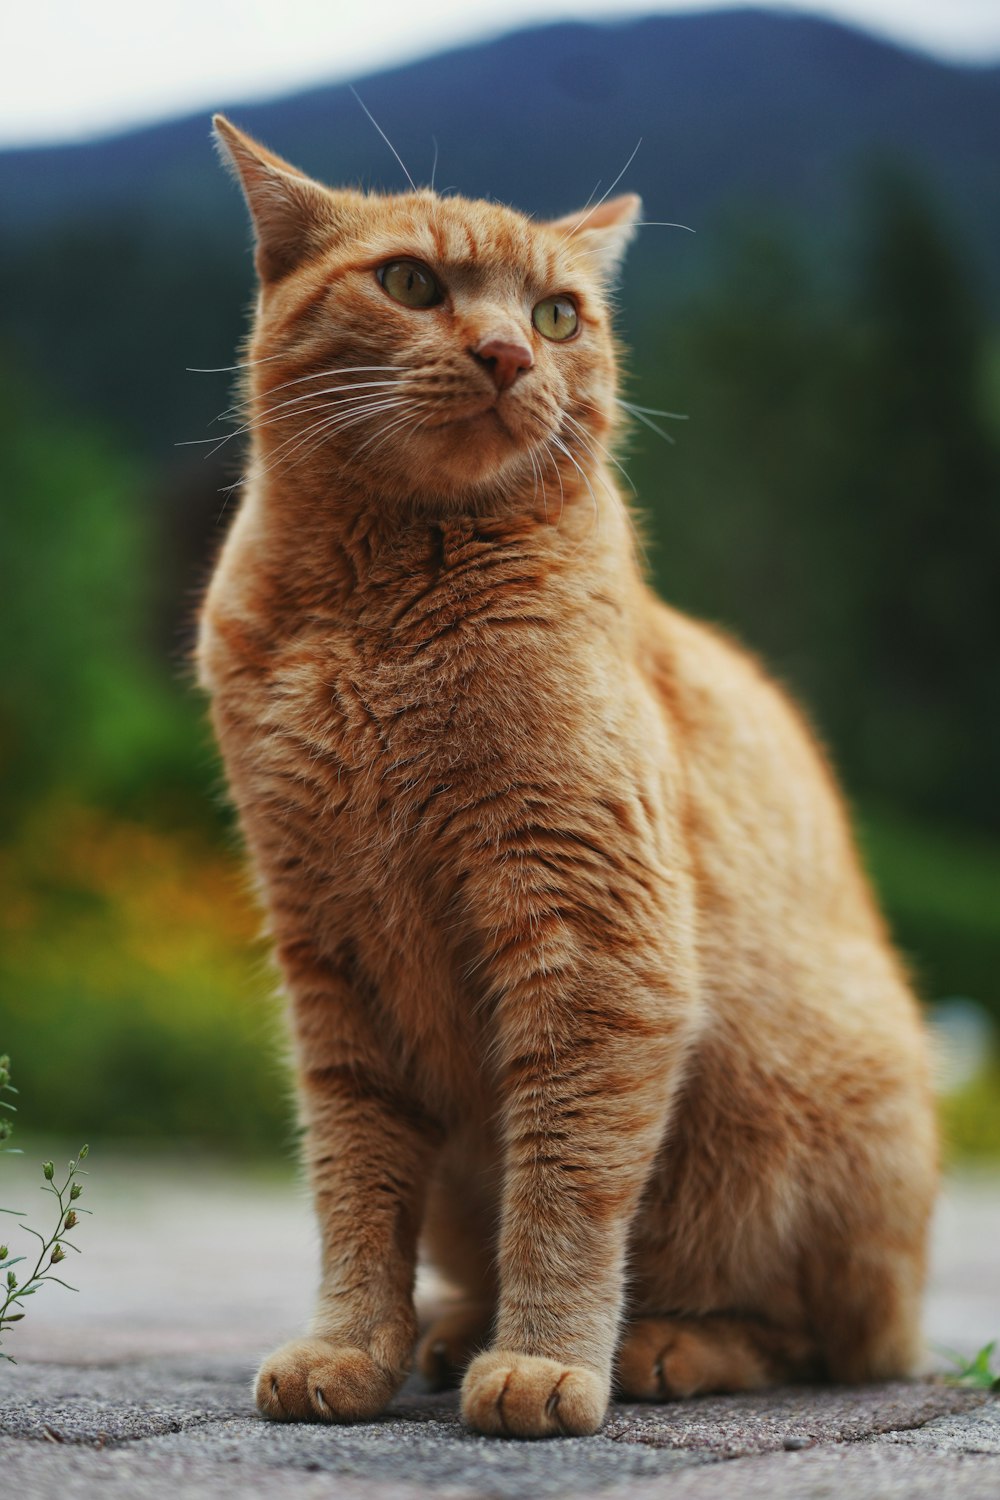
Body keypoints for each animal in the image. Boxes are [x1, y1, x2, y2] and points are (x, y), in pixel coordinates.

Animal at [199, 111, 941, 1434]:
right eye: (410, 283)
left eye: (556, 315)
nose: (504, 353)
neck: (375, 619)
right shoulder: (332, 961)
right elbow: (354, 1189)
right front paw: (353, 1347)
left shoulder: (594, 939)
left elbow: (565, 1185)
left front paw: (543, 1360)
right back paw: (449, 1329)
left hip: (809, 1125)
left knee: (820, 1338)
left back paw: (661, 1345)